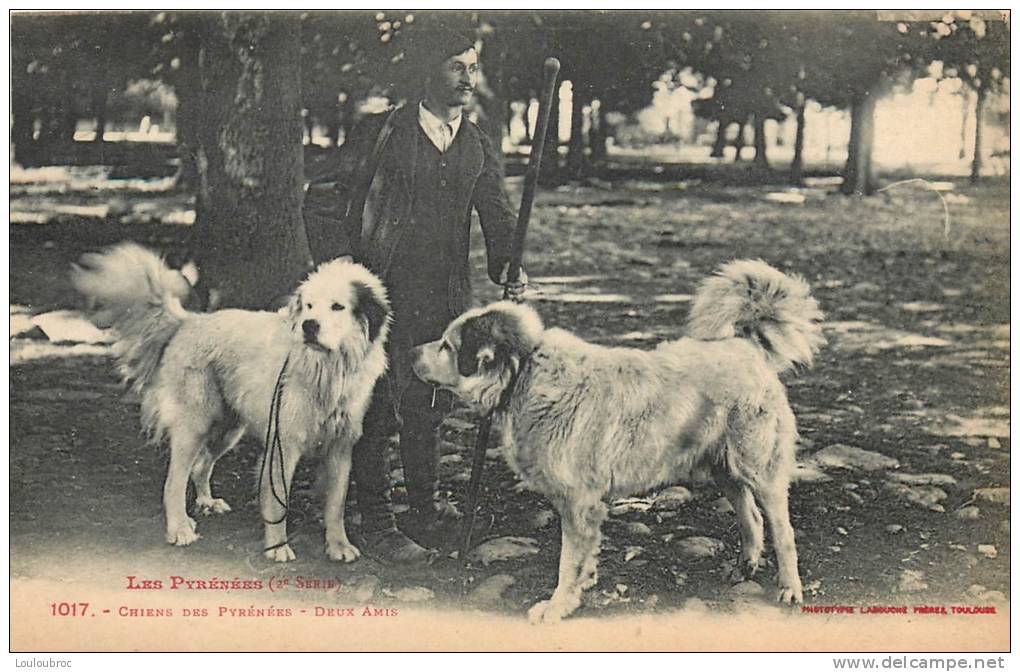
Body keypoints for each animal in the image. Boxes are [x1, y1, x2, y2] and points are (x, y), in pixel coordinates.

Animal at [71, 242, 389, 562]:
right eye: (309, 306)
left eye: (338, 307)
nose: (308, 326)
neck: (328, 368)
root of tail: (191, 321)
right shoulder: (283, 446)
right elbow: (278, 502)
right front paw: (277, 546)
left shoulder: (341, 448)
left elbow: (336, 505)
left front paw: (339, 545)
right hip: (195, 425)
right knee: (174, 482)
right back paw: (180, 528)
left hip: (227, 429)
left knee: (201, 466)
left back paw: (206, 502)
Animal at [410, 260, 824, 624]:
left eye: (447, 346)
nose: (410, 351)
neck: (525, 371)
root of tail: (745, 347)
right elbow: (582, 559)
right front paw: (582, 586)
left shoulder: (578, 503)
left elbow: (568, 562)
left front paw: (557, 606)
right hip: (723, 466)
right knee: (750, 517)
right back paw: (744, 567)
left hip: (760, 469)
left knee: (782, 530)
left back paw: (789, 588)